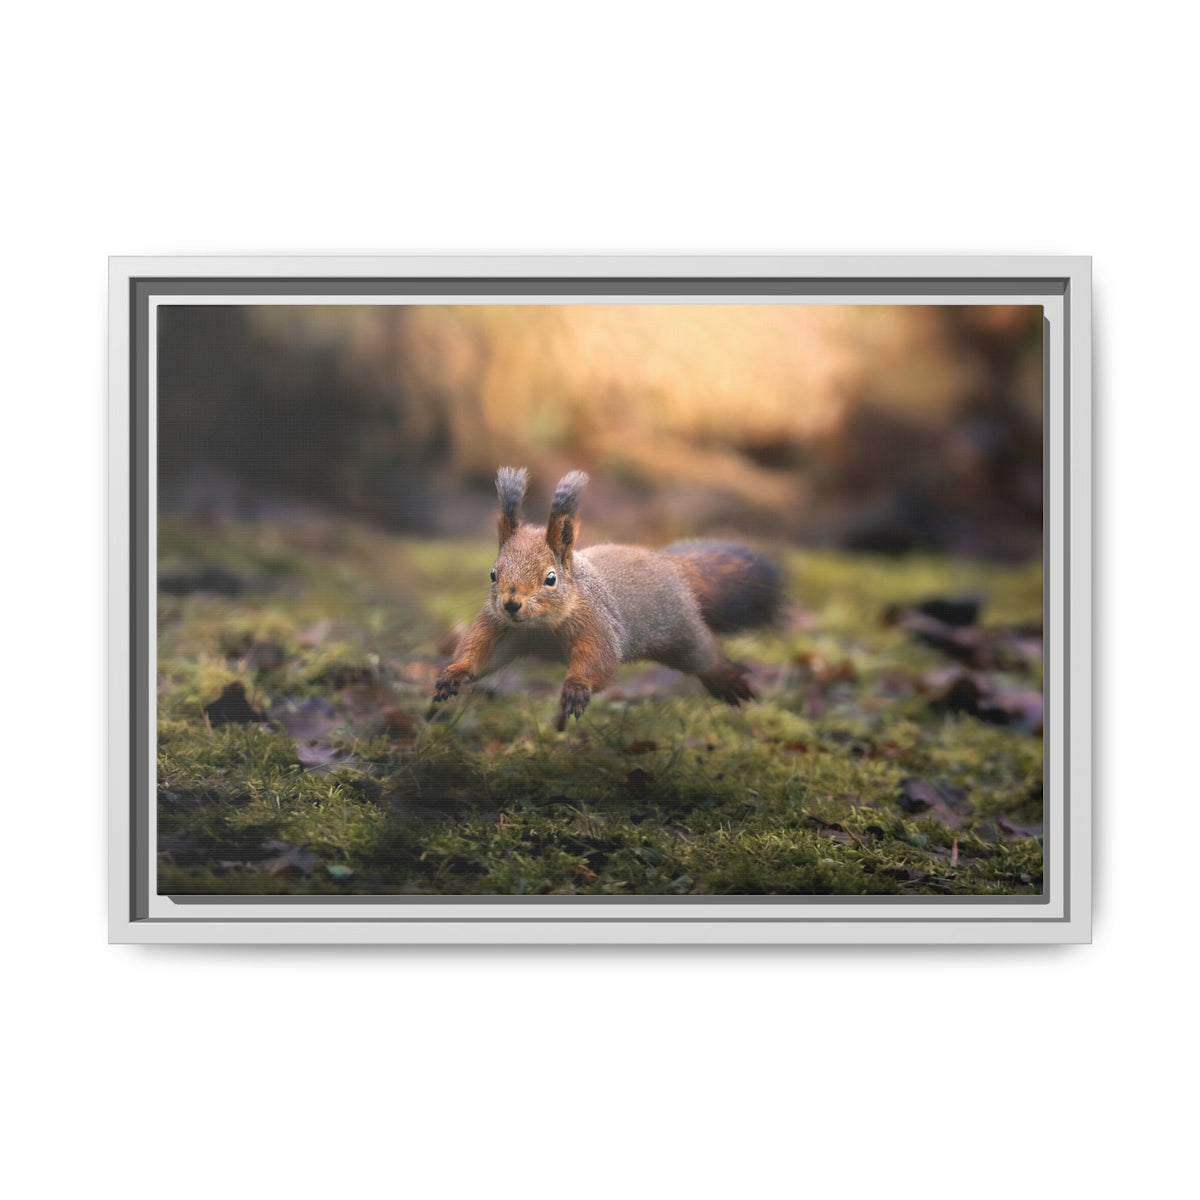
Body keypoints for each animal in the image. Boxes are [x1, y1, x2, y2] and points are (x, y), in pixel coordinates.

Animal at [432, 467, 785, 721]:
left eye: (551, 578)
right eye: (493, 573)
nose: (510, 604)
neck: (538, 627)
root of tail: (669, 564)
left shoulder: (595, 623)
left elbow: (599, 659)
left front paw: (576, 687)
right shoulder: (499, 628)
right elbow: (479, 656)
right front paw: (453, 673)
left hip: (681, 630)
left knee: (705, 652)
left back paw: (727, 677)